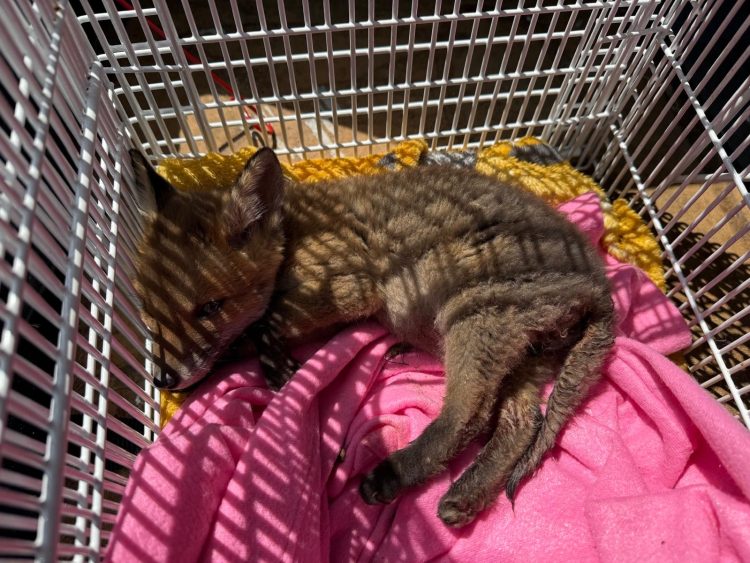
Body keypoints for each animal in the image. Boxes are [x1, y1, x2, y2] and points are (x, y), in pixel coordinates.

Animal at [129, 145, 614, 527]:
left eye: (210, 308)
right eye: (148, 310)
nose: (163, 380)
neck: (296, 235)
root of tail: (600, 283)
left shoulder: (351, 290)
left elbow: (259, 325)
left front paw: (278, 369)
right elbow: (249, 333)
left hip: (468, 314)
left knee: (468, 416)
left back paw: (392, 475)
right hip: (523, 354)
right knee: (522, 422)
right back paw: (467, 495)